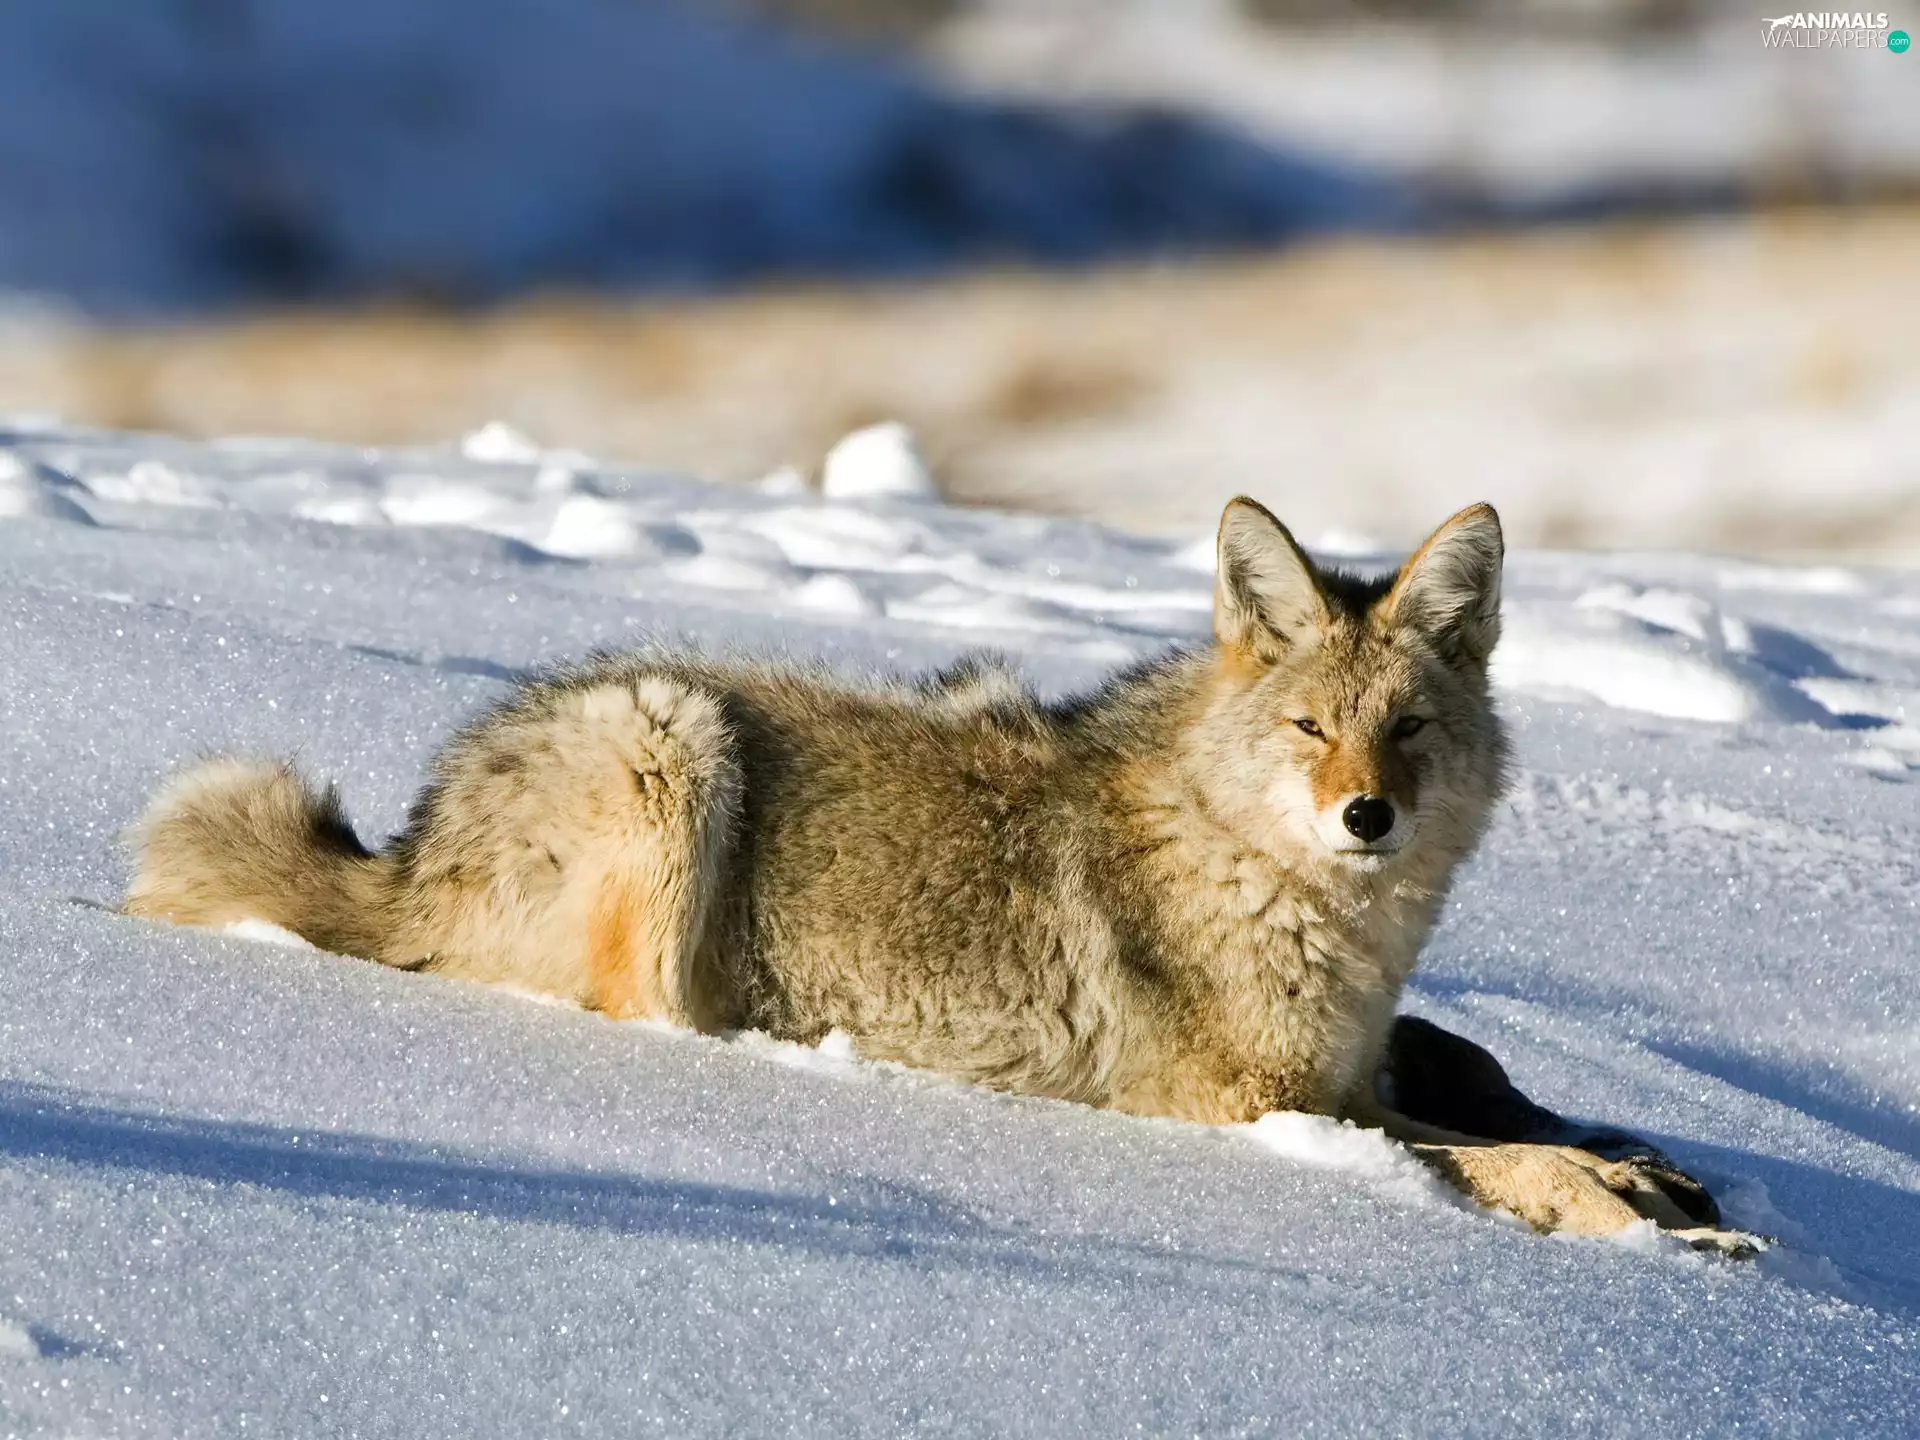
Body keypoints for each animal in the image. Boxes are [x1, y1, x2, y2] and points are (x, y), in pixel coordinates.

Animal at [124, 498, 1757, 1252]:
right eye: (1311, 728)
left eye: (1408, 730)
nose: (1367, 818)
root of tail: (418, 832)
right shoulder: (1251, 1109)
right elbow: (1490, 1162)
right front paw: (1643, 1219)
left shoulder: (1354, 1072)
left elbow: (1497, 1105)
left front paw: (1653, 1171)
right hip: (673, 738)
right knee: (644, 1013)